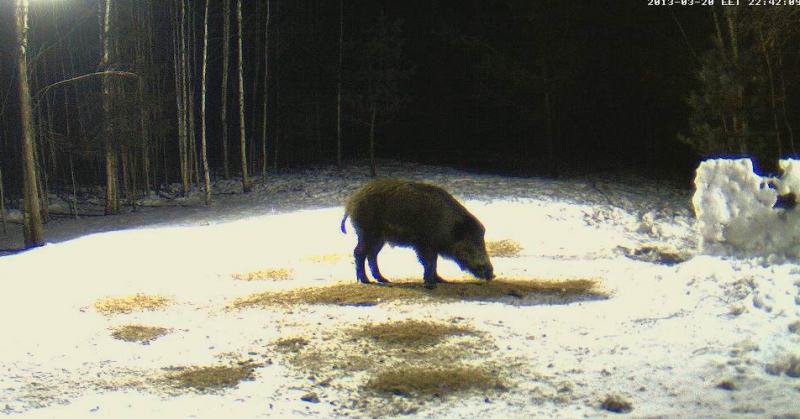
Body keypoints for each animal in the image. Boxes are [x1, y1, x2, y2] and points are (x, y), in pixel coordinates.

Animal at [340, 178, 494, 289]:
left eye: (482, 242)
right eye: (469, 245)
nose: (491, 274)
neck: (447, 226)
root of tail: (351, 202)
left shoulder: (432, 245)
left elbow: (434, 262)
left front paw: (441, 280)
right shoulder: (424, 243)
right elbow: (429, 262)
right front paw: (431, 283)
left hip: (379, 239)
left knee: (372, 255)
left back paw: (384, 279)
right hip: (367, 233)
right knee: (359, 252)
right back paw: (365, 281)